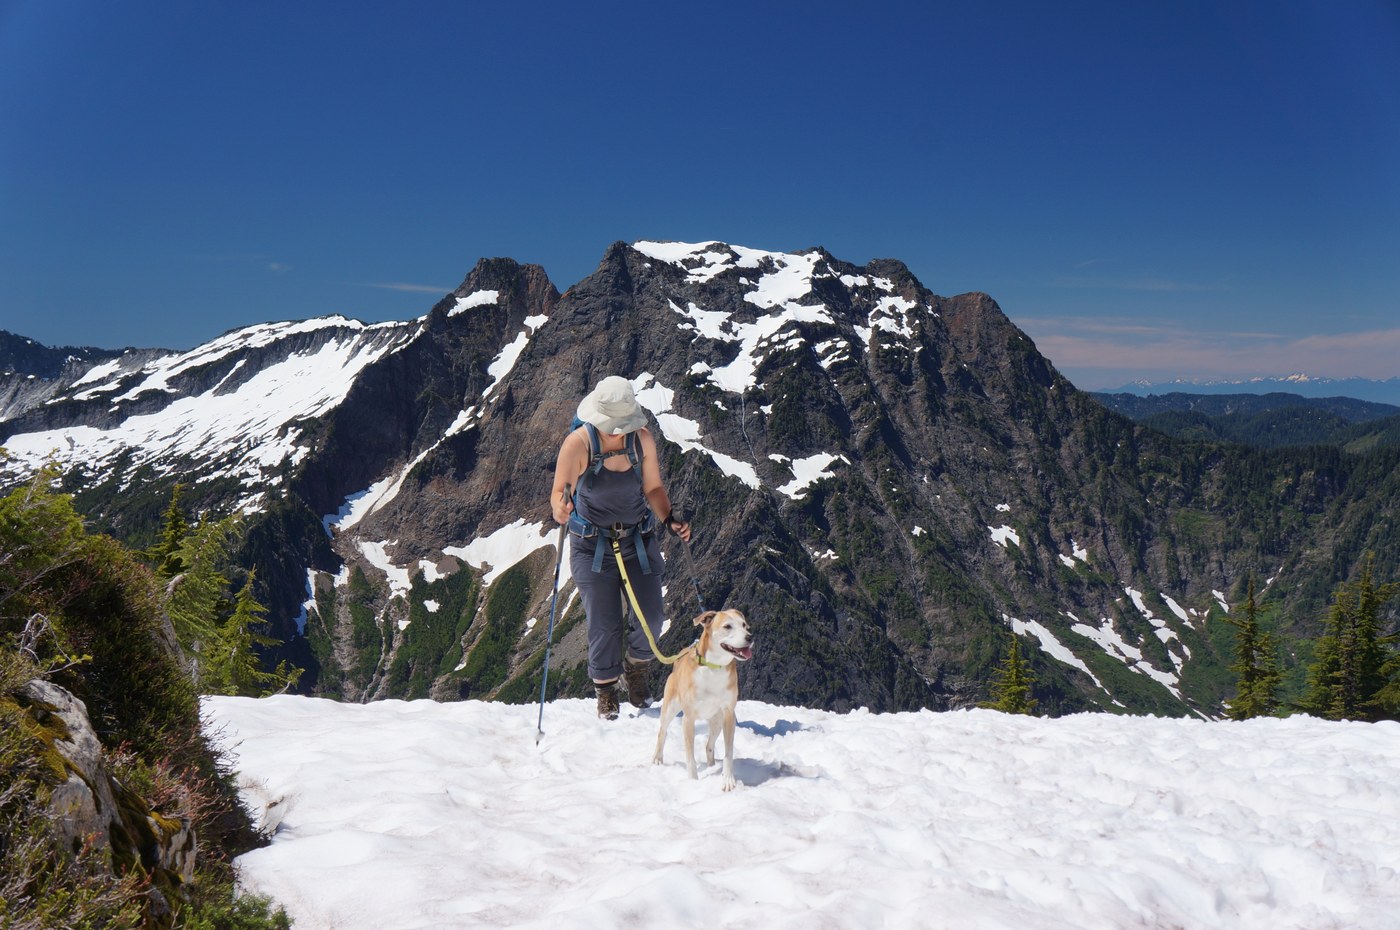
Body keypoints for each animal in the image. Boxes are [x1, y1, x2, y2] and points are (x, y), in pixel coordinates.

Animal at [652, 609, 754, 791]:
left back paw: (712, 766)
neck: (714, 667)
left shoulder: (729, 715)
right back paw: (657, 759)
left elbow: (728, 753)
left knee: (709, 746)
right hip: (670, 706)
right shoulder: (688, 719)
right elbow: (690, 757)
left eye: (744, 625)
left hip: (717, 720)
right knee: (662, 731)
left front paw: (728, 781)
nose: (750, 637)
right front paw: (693, 782)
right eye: (727, 626)